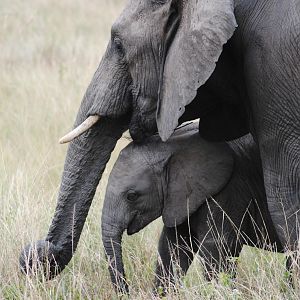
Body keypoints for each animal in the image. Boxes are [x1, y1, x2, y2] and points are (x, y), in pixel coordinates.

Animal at [102, 121, 282, 292]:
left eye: (132, 196)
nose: (127, 291)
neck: (171, 144)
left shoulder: (228, 189)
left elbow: (216, 247)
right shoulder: (179, 198)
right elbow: (172, 247)